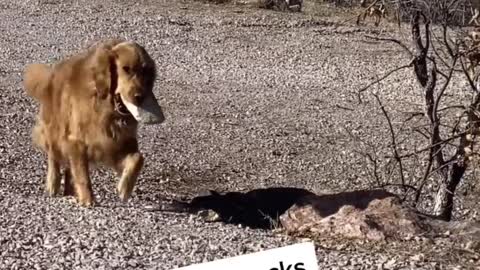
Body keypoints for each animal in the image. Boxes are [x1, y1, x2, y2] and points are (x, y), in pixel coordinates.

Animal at [23, 38, 165, 207]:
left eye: (146, 71)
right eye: (126, 69)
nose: (139, 96)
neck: (105, 109)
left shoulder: (118, 143)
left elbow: (138, 158)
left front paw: (124, 188)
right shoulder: (77, 142)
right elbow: (83, 176)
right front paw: (87, 199)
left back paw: (69, 191)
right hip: (56, 130)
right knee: (53, 157)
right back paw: (53, 184)